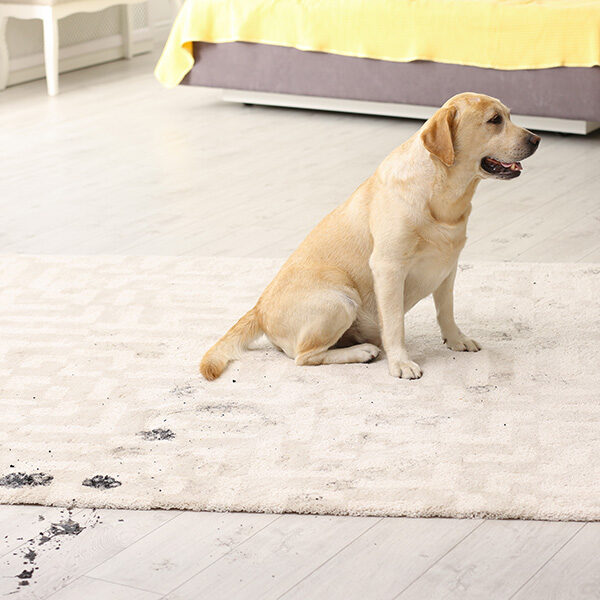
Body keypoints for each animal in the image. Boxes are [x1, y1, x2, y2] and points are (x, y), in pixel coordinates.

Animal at [200, 92, 540, 380]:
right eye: (494, 120)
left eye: (509, 115)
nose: (537, 139)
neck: (442, 197)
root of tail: (258, 309)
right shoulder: (388, 268)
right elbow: (395, 325)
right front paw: (400, 362)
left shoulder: (448, 267)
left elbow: (446, 311)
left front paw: (456, 340)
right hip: (339, 298)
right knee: (304, 356)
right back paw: (362, 351)